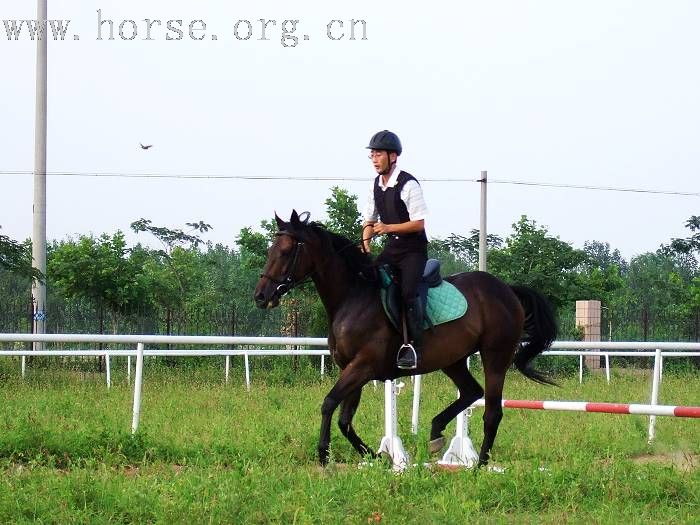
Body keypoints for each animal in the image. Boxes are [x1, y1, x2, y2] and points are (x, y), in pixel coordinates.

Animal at [254, 211, 556, 464]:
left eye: (285, 252)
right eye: (271, 250)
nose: (260, 296)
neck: (353, 297)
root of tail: (507, 290)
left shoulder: (362, 366)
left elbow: (329, 403)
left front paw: (323, 454)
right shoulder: (351, 368)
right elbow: (345, 419)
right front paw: (375, 455)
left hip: (495, 356)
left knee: (492, 411)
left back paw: (480, 465)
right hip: (453, 359)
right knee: (472, 392)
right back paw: (436, 433)